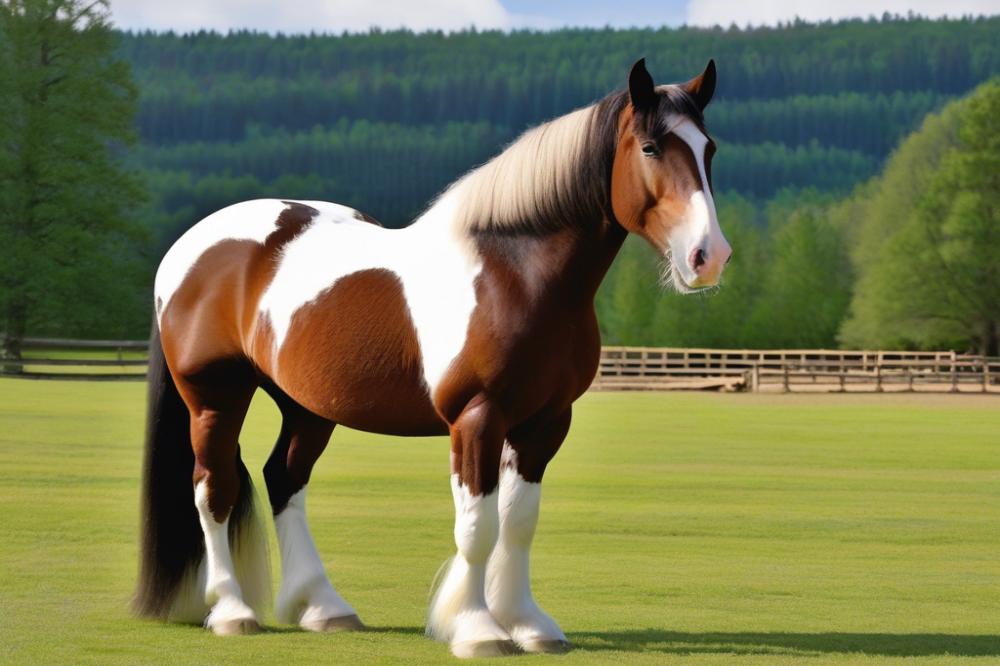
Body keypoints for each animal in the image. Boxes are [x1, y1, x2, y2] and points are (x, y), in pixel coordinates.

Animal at [133, 58, 732, 660]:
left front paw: (528, 624)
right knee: (213, 489)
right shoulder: (477, 418)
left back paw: (324, 608)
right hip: (215, 397)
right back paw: (232, 611)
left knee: (284, 478)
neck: (516, 273)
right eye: (651, 147)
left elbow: (518, 522)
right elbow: (478, 527)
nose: (708, 257)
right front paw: (477, 628)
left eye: (709, 149)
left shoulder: (544, 423)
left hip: (307, 407)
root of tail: (185, 249)